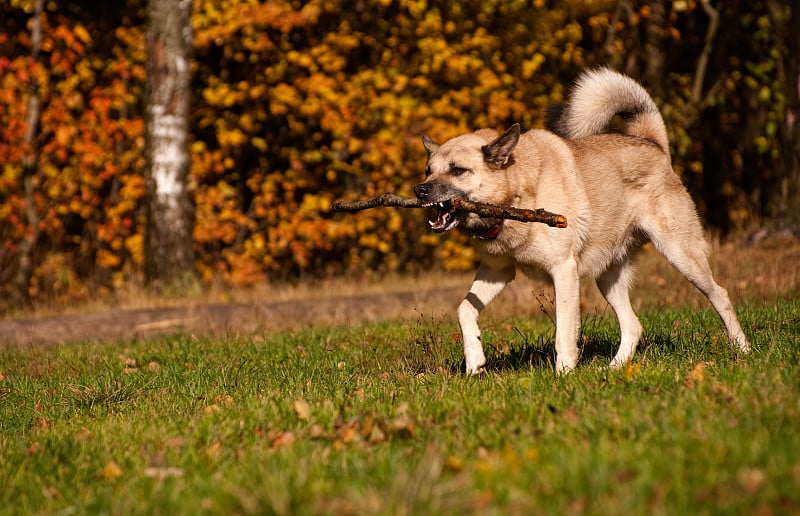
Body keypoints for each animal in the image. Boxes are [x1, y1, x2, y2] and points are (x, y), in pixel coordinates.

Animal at [412, 68, 752, 374]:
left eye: (458, 170)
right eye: (429, 170)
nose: (419, 190)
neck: (518, 190)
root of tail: (653, 143)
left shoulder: (564, 271)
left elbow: (564, 331)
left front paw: (563, 374)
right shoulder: (497, 271)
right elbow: (465, 309)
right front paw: (474, 362)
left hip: (681, 255)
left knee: (720, 295)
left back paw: (743, 350)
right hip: (608, 276)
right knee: (633, 325)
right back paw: (614, 369)